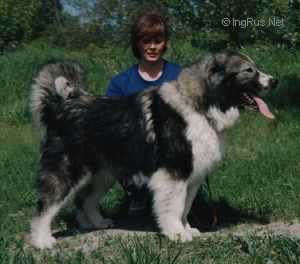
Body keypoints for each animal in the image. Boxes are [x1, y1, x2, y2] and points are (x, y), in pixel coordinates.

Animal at [29, 51, 278, 248]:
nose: (275, 81)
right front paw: (176, 233)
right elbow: (174, 206)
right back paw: (42, 241)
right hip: (67, 171)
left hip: (103, 174)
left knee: (84, 200)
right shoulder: (173, 173)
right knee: (46, 206)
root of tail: (59, 109)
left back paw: (96, 223)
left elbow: (186, 206)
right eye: (249, 71)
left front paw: (186, 229)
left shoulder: (191, 177)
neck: (200, 105)